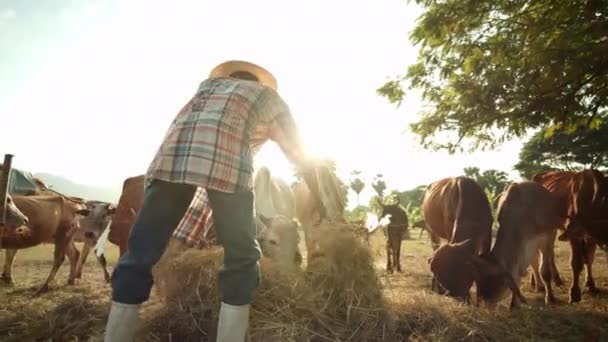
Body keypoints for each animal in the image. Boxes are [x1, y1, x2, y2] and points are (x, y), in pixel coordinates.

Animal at [536, 170, 604, 304]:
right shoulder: (574, 235)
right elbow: (576, 263)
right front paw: (574, 293)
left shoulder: (590, 236)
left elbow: (589, 259)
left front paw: (590, 284)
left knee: (550, 252)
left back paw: (556, 279)